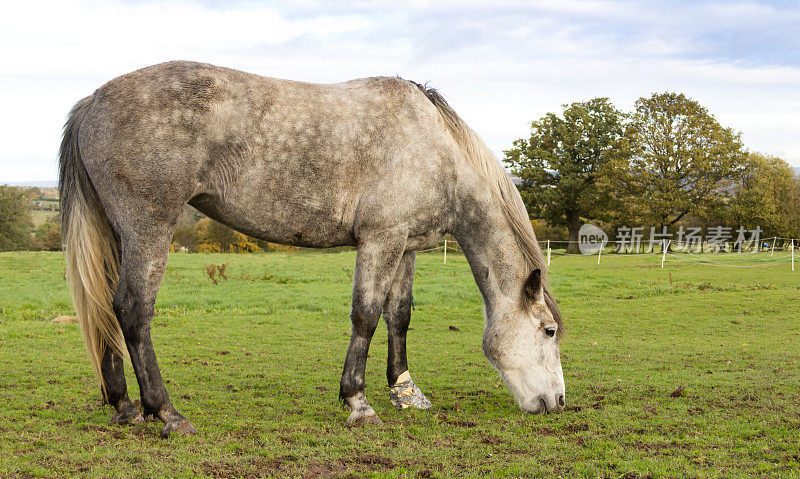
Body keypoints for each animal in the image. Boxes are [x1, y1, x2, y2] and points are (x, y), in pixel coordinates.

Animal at [59, 61, 564, 438]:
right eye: (549, 331)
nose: (557, 402)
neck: (435, 147)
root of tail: (92, 102)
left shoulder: (406, 245)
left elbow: (399, 315)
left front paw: (405, 392)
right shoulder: (380, 239)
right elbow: (366, 315)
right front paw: (358, 403)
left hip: (117, 235)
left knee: (106, 310)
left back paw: (124, 407)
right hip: (149, 230)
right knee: (132, 310)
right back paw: (166, 413)